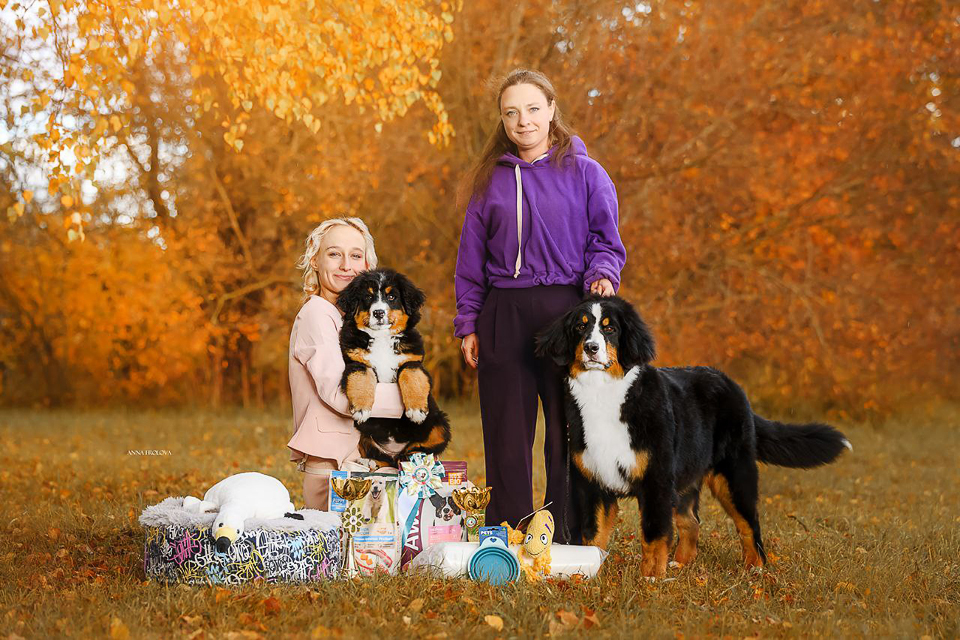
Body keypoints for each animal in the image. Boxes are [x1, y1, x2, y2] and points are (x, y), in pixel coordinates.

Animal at [337, 269, 451, 466]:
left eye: (391, 297)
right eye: (368, 296)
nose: (378, 312)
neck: (382, 338)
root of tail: (394, 450)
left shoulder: (414, 360)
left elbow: (411, 373)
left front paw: (416, 410)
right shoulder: (354, 361)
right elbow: (362, 376)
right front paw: (361, 409)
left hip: (440, 424)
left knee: (419, 448)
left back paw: (410, 457)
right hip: (361, 434)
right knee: (382, 457)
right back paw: (368, 462)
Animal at [536, 295, 851, 577]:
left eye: (610, 328)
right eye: (580, 327)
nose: (591, 348)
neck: (603, 393)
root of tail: (732, 385)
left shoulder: (656, 480)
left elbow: (653, 535)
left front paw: (651, 578)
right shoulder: (592, 481)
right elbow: (595, 535)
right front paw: (589, 576)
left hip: (733, 475)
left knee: (749, 525)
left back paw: (755, 568)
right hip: (686, 477)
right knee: (692, 521)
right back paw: (681, 563)